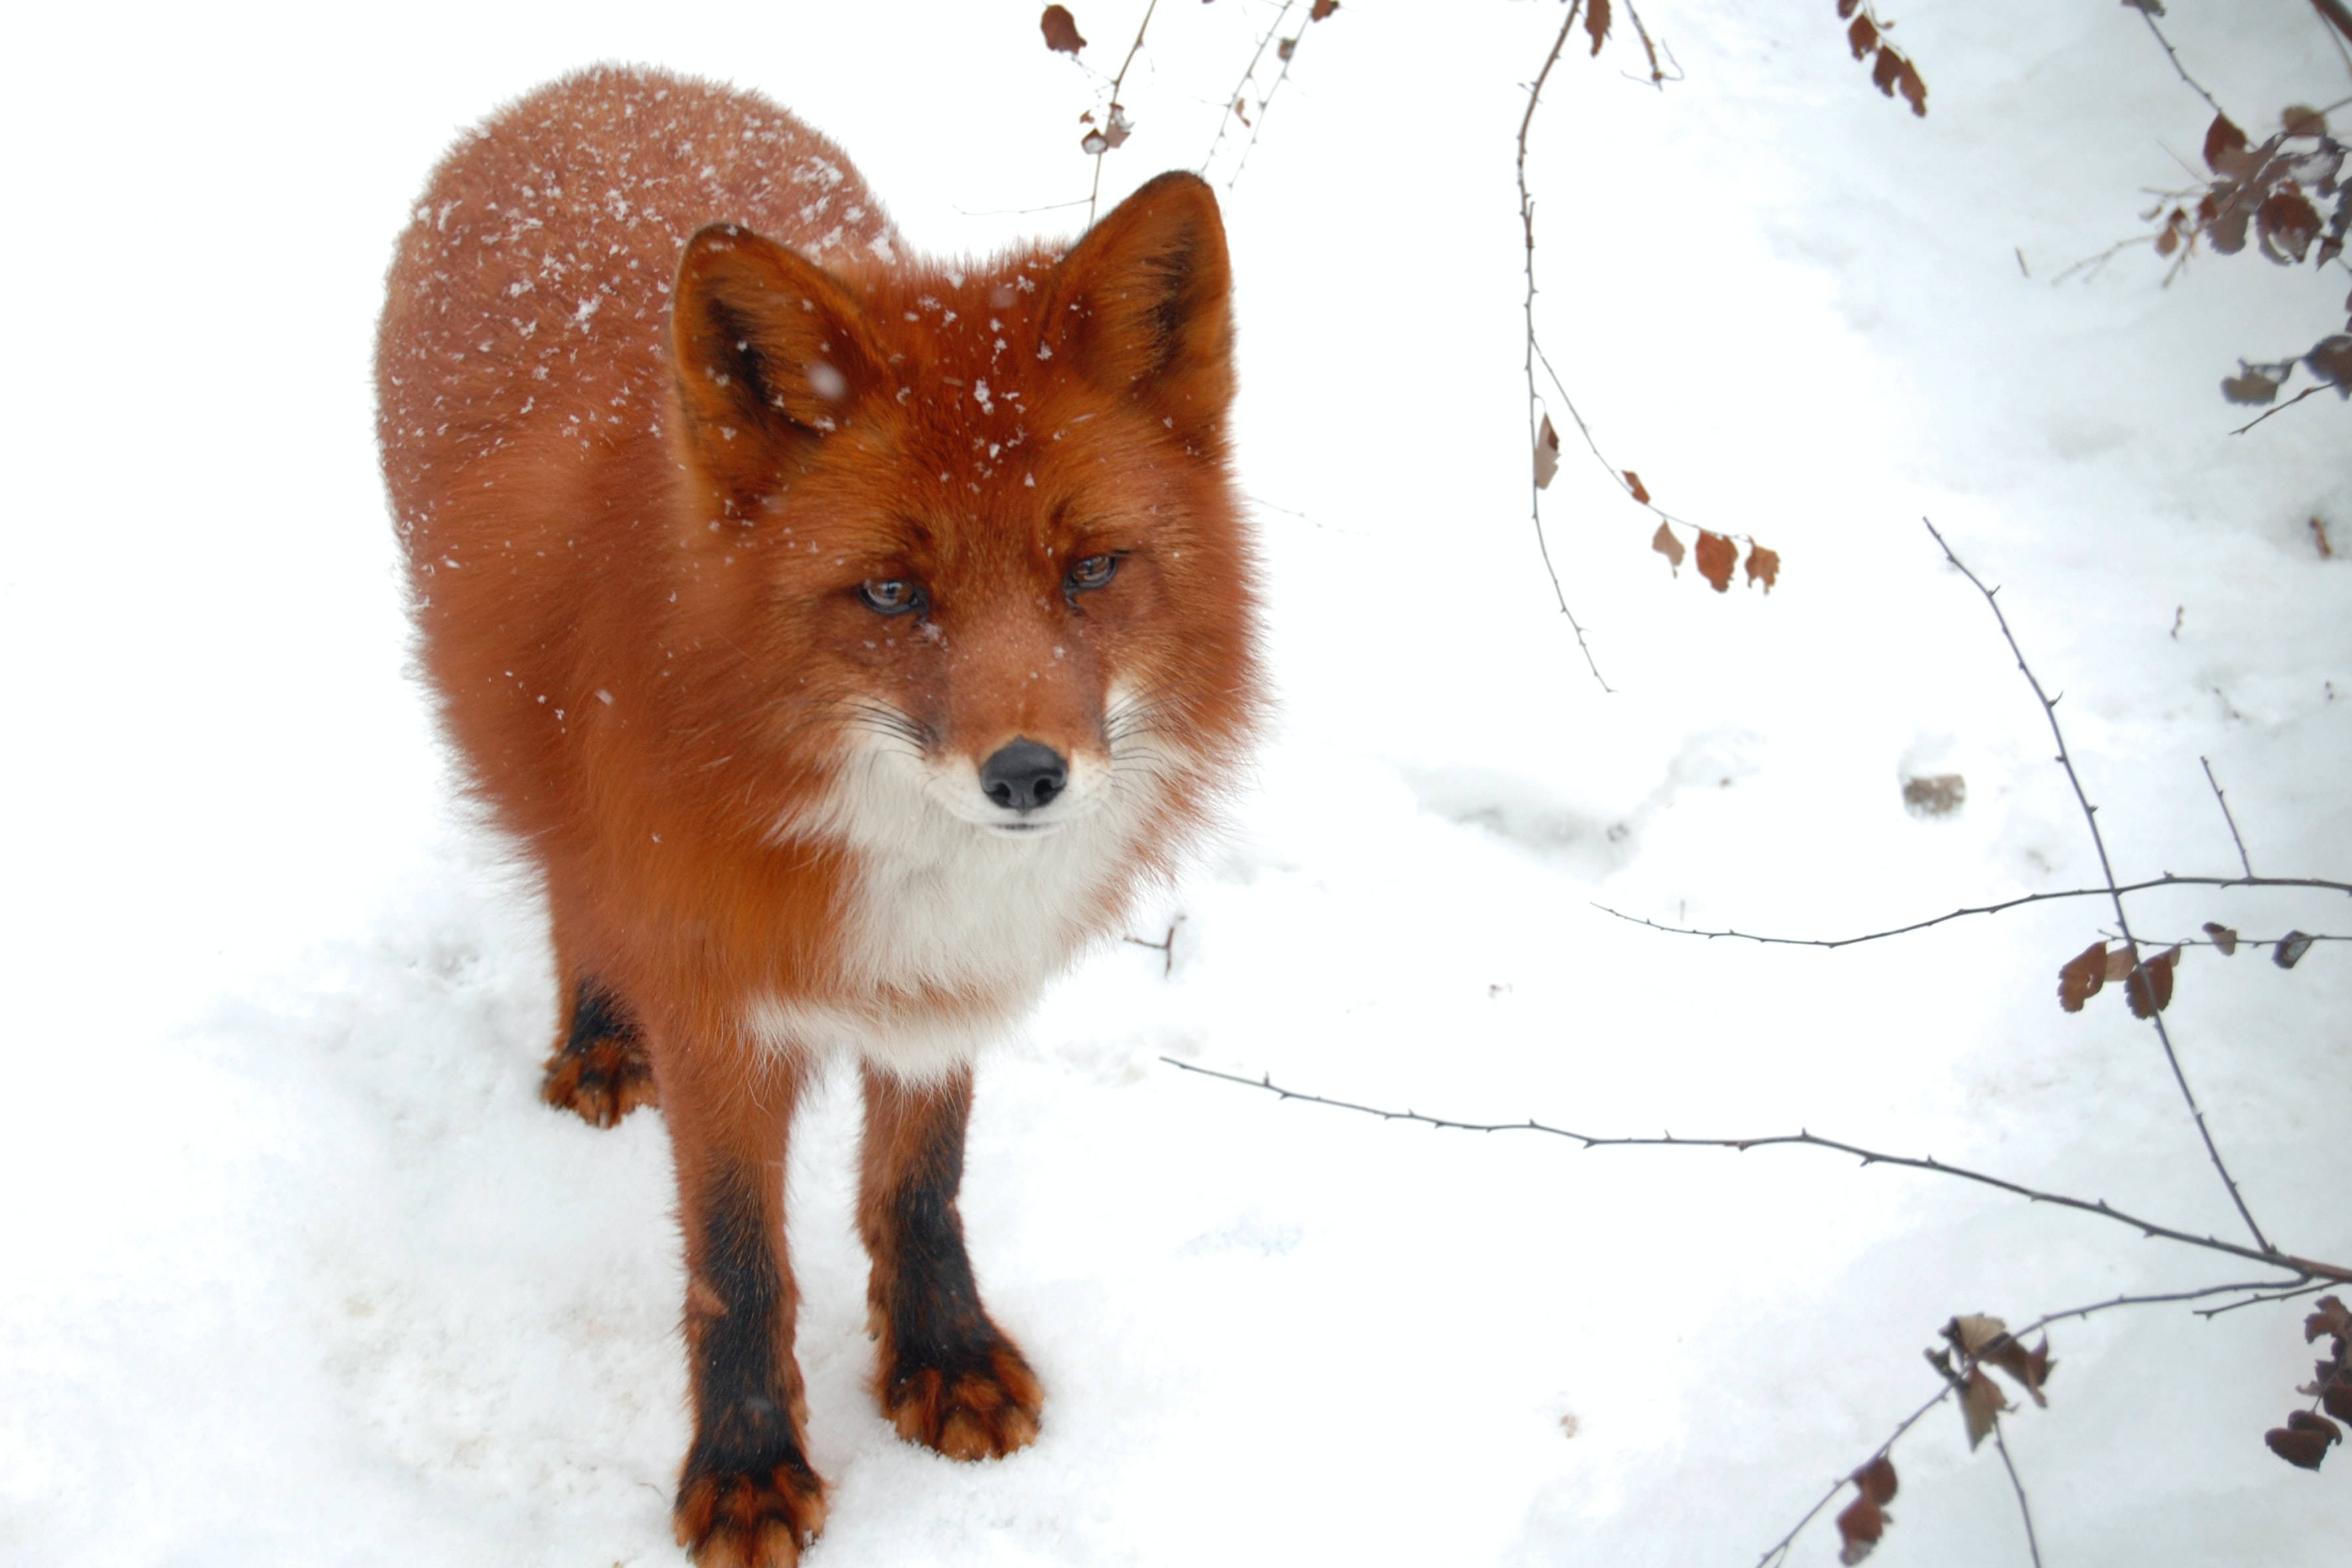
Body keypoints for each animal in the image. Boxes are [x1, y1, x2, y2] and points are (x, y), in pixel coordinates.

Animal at [374, 64, 1259, 1566]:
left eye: (1089, 571)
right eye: (893, 594)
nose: (1027, 775)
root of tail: (599, 80)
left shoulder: (941, 981)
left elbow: (918, 1183)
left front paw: (941, 1358)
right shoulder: (716, 999)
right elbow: (739, 1263)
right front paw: (745, 1465)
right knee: (569, 884)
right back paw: (597, 1035)